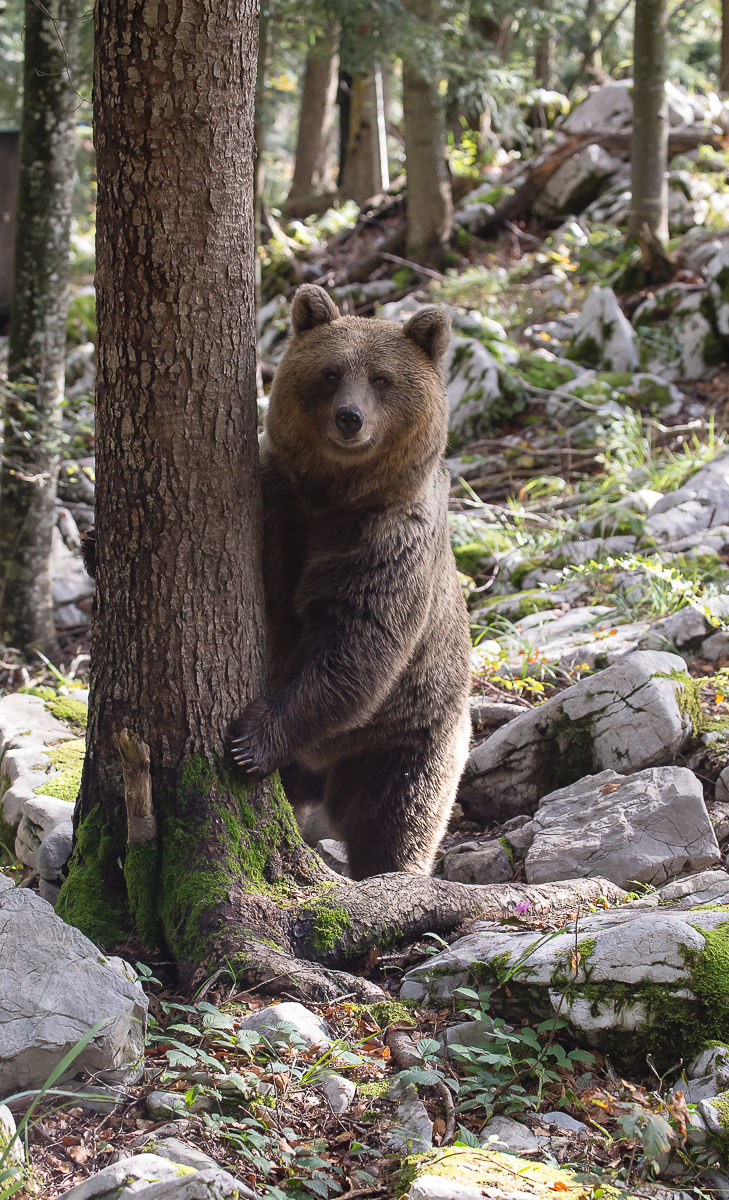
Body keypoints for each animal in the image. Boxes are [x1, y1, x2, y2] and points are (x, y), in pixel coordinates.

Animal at [230, 284, 472, 880]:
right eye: (331, 372)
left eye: (382, 378)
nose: (349, 417)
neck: (337, 498)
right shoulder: (278, 502)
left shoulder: (387, 543)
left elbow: (358, 641)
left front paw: (252, 740)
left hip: (405, 735)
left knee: (397, 817)